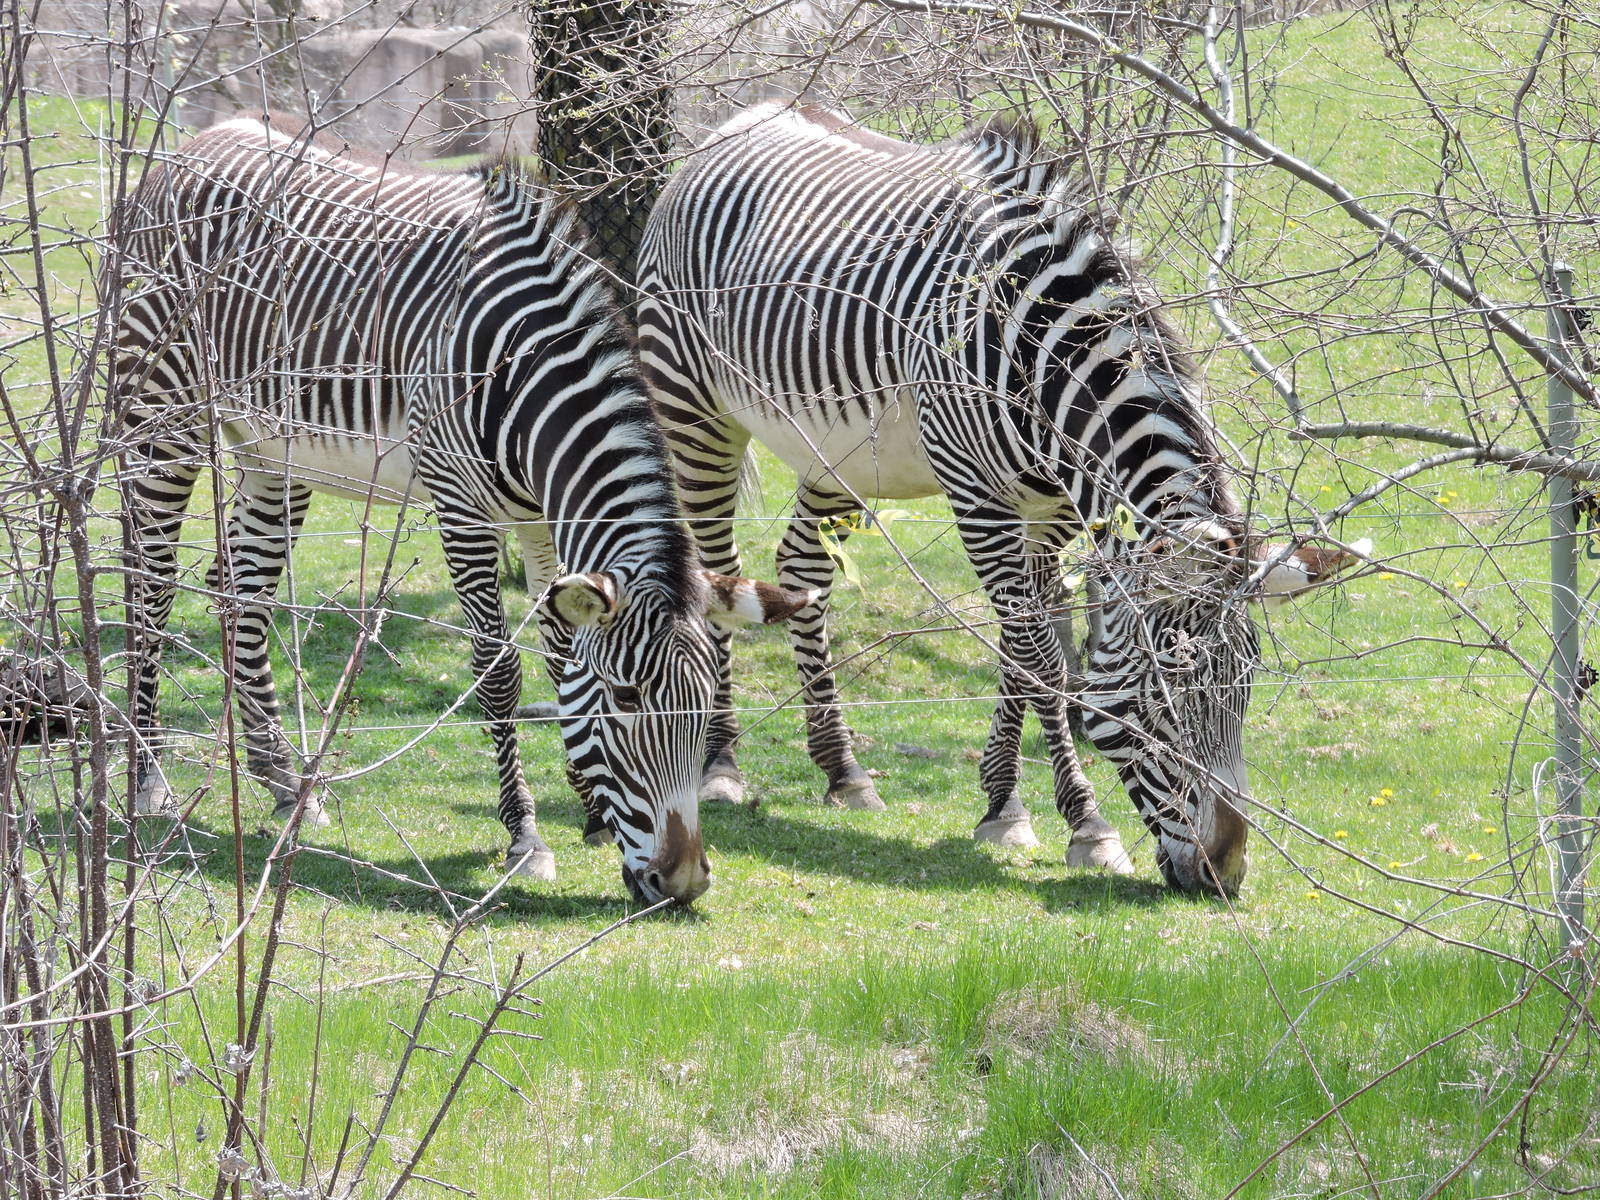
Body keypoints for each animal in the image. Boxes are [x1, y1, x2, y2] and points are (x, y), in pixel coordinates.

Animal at [112, 118, 813, 904]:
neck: (528, 368)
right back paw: (150, 781)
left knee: (239, 594)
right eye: (627, 698)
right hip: (161, 419)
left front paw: (590, 806)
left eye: (703, 704)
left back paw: (287, 784)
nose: (685, 881)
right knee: (150, 587)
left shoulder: (542, 519)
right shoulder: (463, 510)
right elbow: (499, 671)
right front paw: (526, 834)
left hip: (274, 451)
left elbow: (561, 655)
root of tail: (194, 143)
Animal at [636, 104, 1363, 895]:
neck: (1045, 354)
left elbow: (1022, 648)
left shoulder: (1055, 512)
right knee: (719, 569)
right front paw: (1084, 823)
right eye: (1157, 703)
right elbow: (1041, 656)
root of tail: (743, 118)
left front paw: (1003, 803)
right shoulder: (979, 500)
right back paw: (722, 765)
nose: (1225, 873)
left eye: (1245, 688)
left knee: (803, 570)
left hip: (838, 452)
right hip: (694, 408)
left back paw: (843, 770)